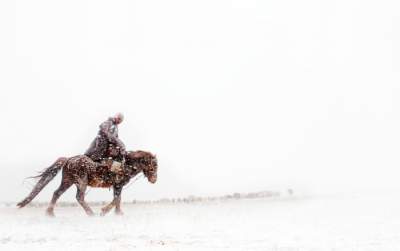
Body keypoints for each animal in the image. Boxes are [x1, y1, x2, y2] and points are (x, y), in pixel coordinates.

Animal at [17, 150, 158, 217]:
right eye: (154, 165)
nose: (154, 180)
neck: (127, 165)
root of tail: (68, 159)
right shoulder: (118, 185)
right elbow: (116, 199)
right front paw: (104, 211)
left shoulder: (117, 186)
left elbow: (118, 199)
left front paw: (118, 213)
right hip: (81, 182)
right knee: (79, 197)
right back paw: (91, 213)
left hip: (67, 181)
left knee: (57, 193)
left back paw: (50, 213)